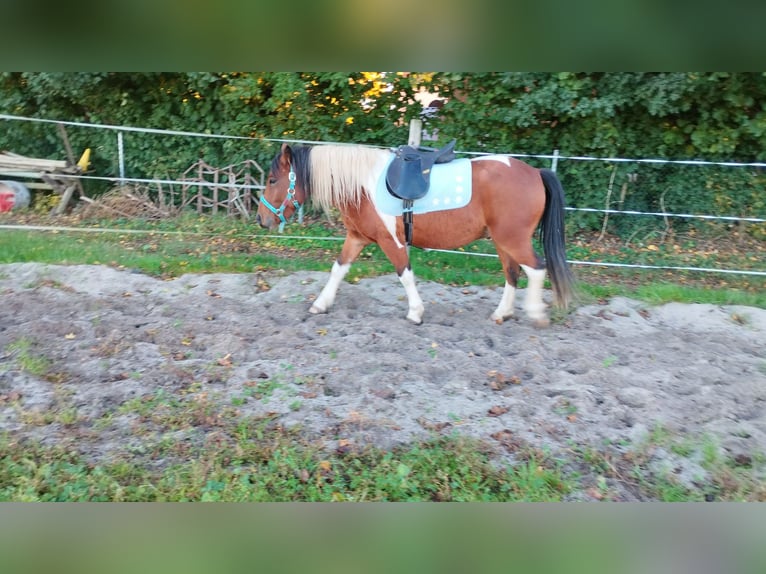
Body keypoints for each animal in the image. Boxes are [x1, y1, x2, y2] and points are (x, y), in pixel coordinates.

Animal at [256, 142, 576, 326]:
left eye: (272, 179)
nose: (261, 220)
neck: (362, 185)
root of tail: (535, 172)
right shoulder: (357, 237)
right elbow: (338, 269)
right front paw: (320, 304)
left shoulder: (391, 240)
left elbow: (405, 273)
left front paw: (415, 313)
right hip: (502, 241)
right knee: (512, 273)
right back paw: (502, 314)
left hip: (512, 239)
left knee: (536, 269)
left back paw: (535, 314)